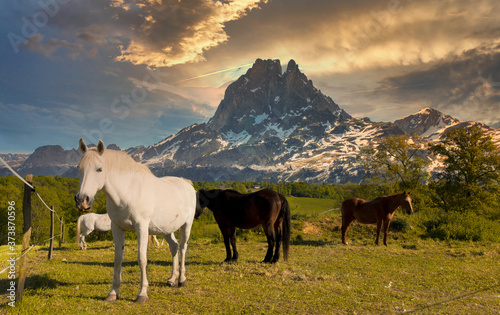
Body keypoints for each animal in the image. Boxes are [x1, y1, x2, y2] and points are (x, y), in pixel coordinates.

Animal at [75, 139, 196, 304]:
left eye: (99, 169)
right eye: (79, 168)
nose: (82, 200)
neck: (127, 192)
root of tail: (187, 184)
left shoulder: (141, 227)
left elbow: (142, 259)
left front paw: (142, 294)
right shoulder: (117, 227)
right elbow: (118, 259)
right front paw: (113, 293)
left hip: (186, 225)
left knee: (183, 247)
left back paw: (182, 280)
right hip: (166, 229)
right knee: (174, 247)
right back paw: (172, 279)